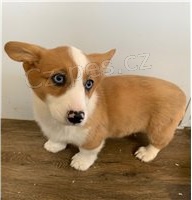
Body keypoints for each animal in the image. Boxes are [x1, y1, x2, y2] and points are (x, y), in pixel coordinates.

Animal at [4, 41, 186, 171]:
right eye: (58, 78)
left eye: (89, 83)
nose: (77, 117)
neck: (53, 119)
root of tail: (182, 92)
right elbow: (58, 138)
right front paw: (55, 145)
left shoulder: (94, 137)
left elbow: (87, 151)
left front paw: (80, 162)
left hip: (160, 127)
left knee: (159, 142)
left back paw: (146, 153)